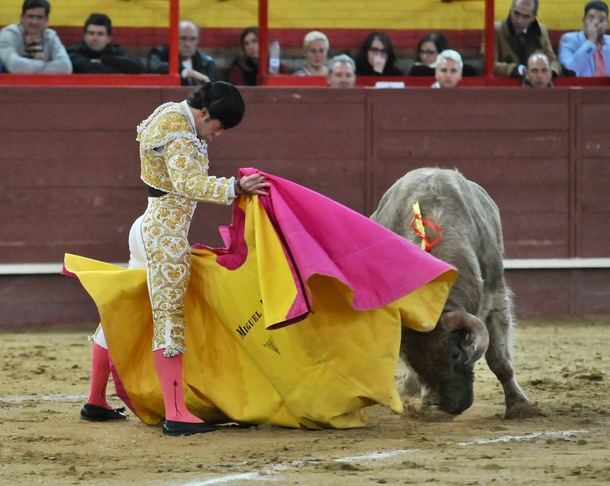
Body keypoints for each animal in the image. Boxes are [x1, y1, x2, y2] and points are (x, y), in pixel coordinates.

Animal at [368, 167, 536, 418]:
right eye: (415, 362)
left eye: (455, 354)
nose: (450, 406)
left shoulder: (496, 299)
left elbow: (499, 360)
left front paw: (519, 405)